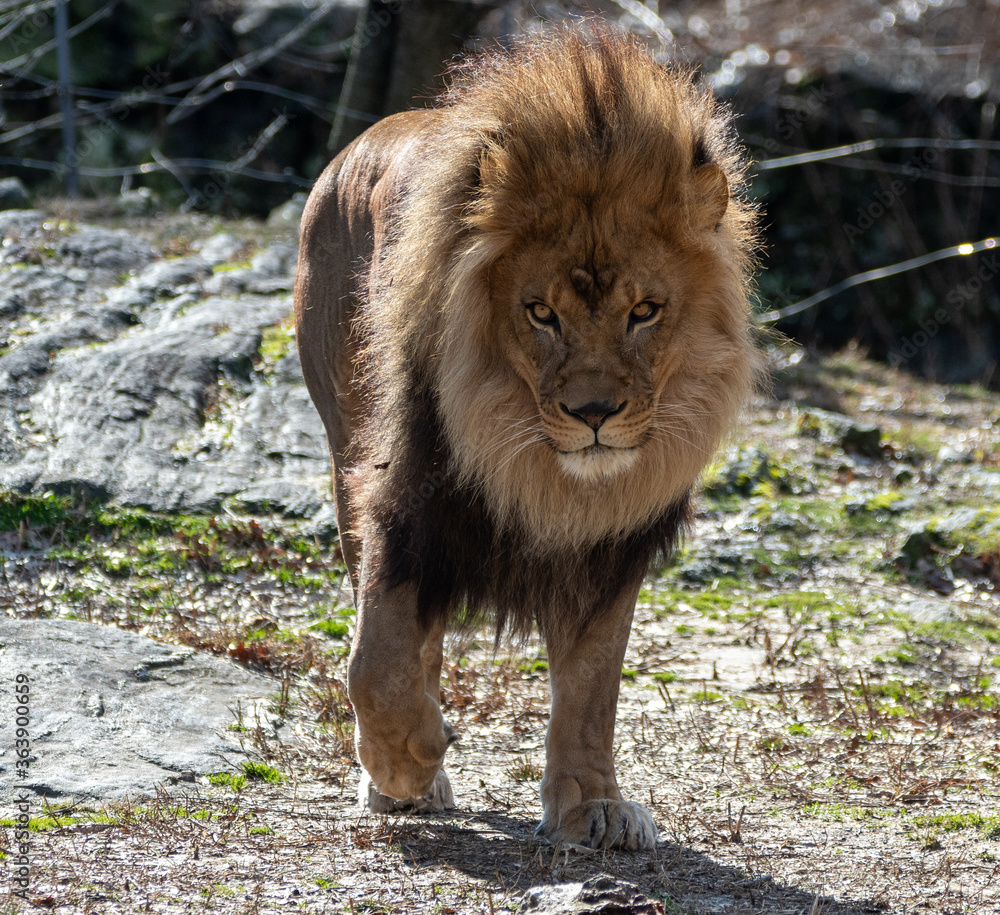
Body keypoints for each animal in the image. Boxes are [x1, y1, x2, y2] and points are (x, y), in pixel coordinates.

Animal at [294, 30, 760, 850]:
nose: (595, 412)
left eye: (645, 311)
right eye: (541, 313)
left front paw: (592, 804)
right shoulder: (404, 499)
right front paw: (407, 762)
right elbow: (375, 662)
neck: (540, 466)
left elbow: (592, 684)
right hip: (346, 449)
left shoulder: (613, 545)